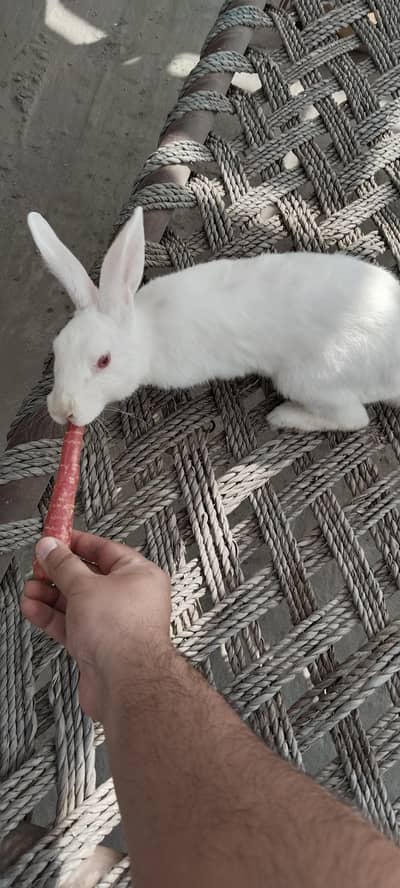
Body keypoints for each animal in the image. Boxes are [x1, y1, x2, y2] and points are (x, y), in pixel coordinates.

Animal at [27, 206, 400, 433]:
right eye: (56, 350)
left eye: (103, 361)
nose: (62, 410)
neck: (149, 333)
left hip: (309, 378)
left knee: (354, 418)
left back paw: (283, 415)